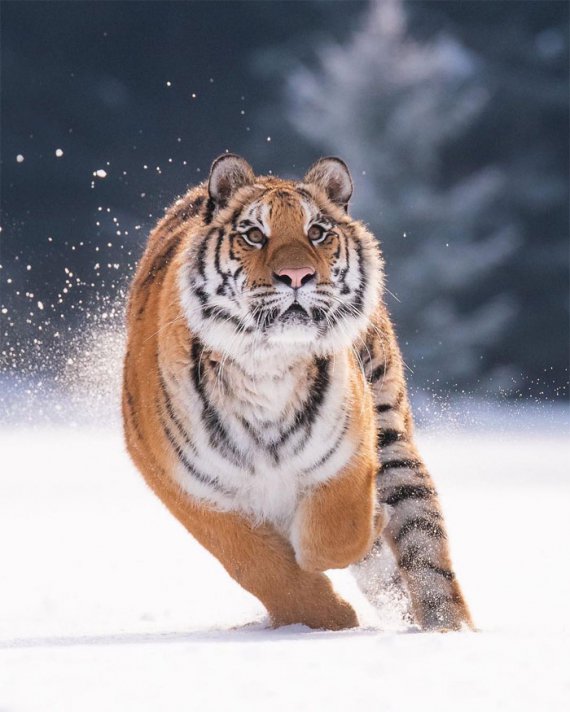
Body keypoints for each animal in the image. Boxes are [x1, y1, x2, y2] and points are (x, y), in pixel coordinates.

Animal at [122, 153, 472, 632]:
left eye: (317, 232)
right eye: (254, 234)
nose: (296, 276)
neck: (267, 364)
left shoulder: (349, 450)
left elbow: (334, 536)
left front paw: (368, 523)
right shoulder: (185, 484)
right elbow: (257, 565)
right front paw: (329, 618)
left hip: (393, 435)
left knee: (426, 552)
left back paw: (449, 631)